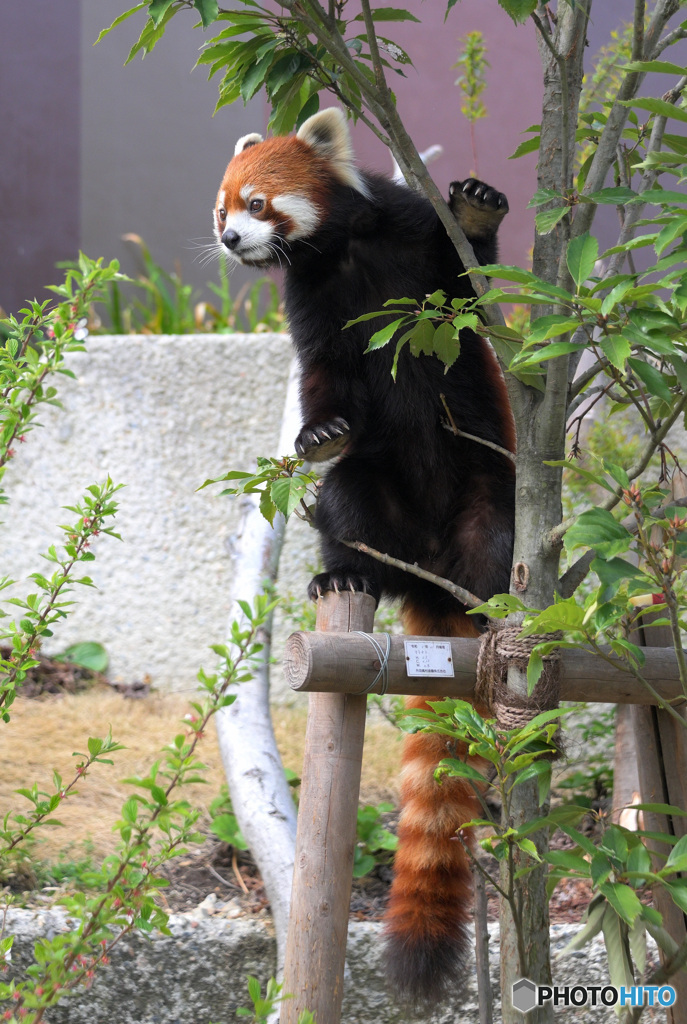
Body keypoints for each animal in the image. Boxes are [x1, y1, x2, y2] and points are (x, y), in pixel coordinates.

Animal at [215, 110, 516, 999]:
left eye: (255, 202)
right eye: (220, 208)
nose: (229, 238)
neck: (340, 251)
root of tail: (430, 569)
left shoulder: (413, 241)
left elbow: (466, 284)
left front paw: (477, 210)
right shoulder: (311, 308)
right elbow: (323, 382)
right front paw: (318, 432)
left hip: (486, 487)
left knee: (494, 531)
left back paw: (486, 602)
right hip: (371, 499)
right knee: (344, 499)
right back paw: (344, 571)